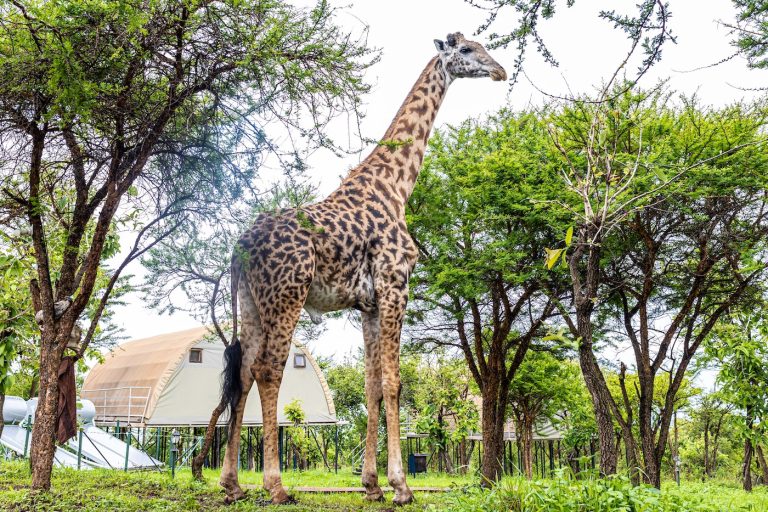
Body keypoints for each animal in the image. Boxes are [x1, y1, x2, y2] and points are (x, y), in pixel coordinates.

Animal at [216, 33, 508, 508]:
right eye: (466, 51)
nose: (500, 70)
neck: (396, 188)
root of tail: (241, 246)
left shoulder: (367, 305)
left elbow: (372, 386)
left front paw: (371, 484)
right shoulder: (395, 287)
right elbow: (394, 382)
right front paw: (401, 486)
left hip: (252, 303)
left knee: (242, 373)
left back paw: (231, 484)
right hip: (287, 295)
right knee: (269, 369)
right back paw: (275, 485)